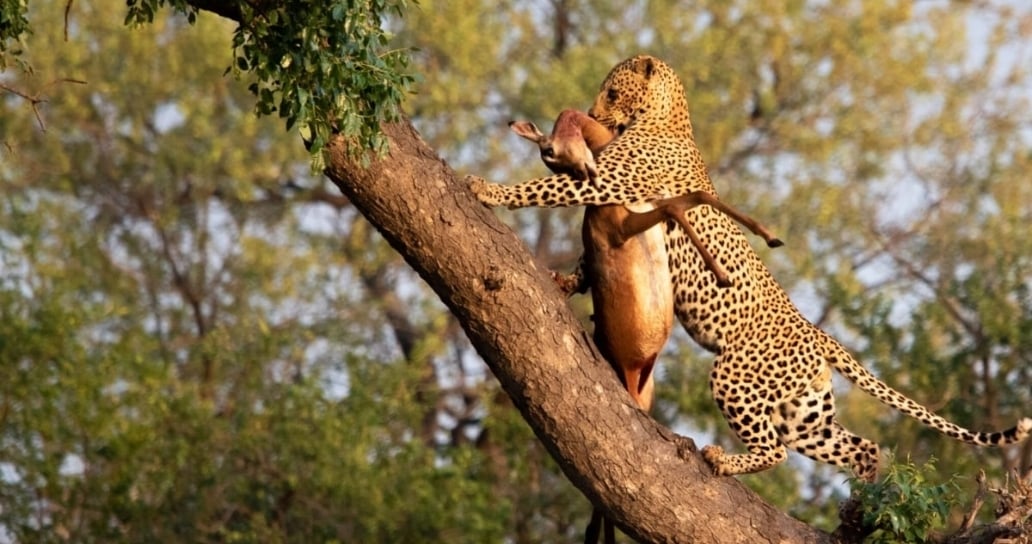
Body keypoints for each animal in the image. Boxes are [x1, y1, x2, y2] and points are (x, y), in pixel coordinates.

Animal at [467, 54, 1032, 482]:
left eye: (611, 92)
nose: (589, 111)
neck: (664, 118)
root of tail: (820, 336)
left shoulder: (607, 183)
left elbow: (544, 189)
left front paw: (486, 189)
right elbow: (585, 251)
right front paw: (567, 280)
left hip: (735, 375)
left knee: (775, 449)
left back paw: (723, 460)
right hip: (805, 413)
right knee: (861, 448)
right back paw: (864, 501)